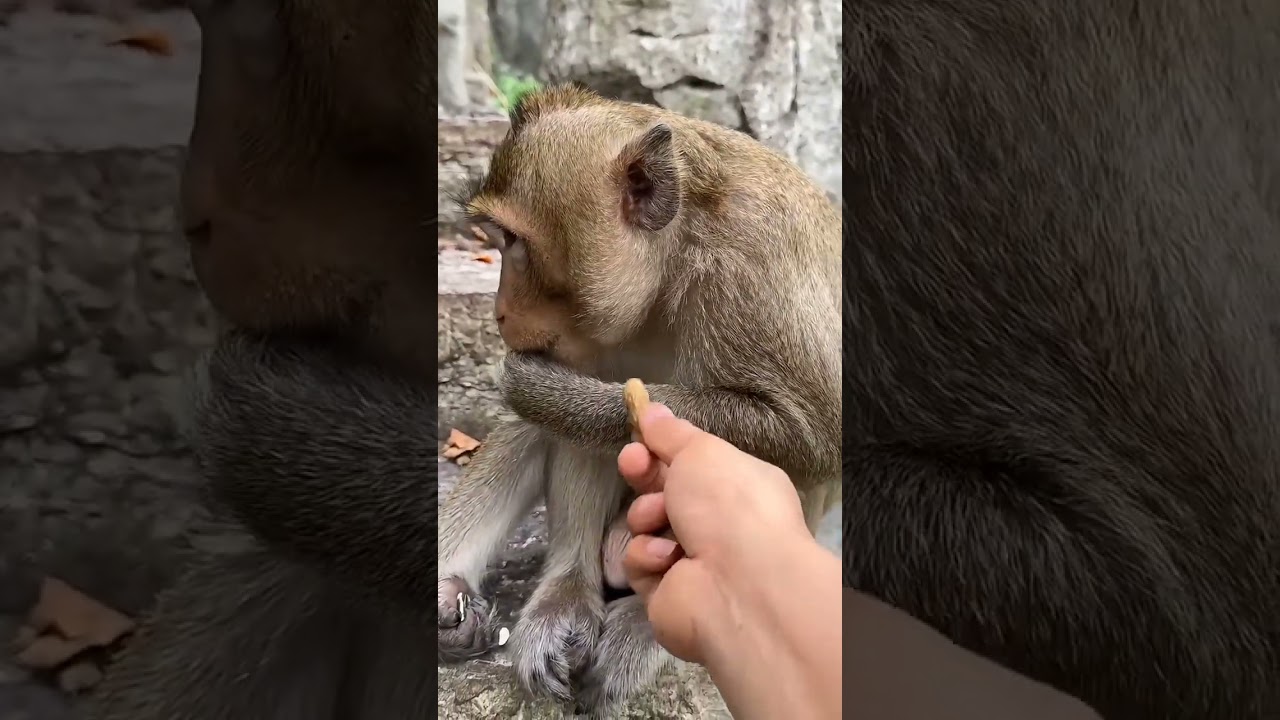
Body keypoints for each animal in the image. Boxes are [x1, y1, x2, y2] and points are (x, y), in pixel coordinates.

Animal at [432, 84, 843, 714]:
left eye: (515, 241)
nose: (499, 312)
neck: (677, 254)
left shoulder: (756, 267)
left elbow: (812, 436)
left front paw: (543, 389)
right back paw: (560, 591)